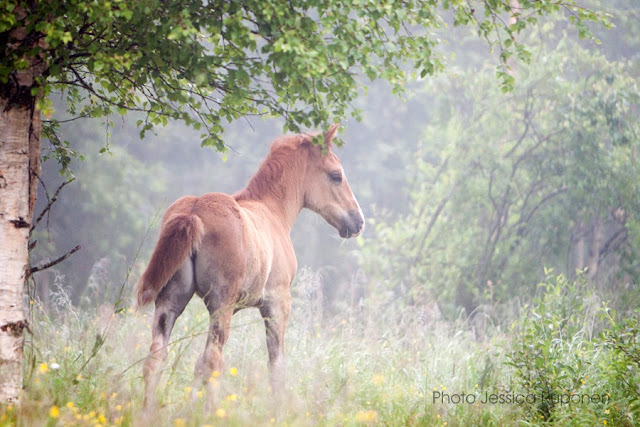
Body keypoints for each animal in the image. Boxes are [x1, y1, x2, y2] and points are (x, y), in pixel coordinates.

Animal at [137, 124, 362, 412]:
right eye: (336, 176)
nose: (358, 221)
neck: (273, 210)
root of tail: (194, 212)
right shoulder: (277, 303)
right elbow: (276, 365)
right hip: (221, 303)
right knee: (212, 360)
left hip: (171, 298)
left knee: (157, 358)